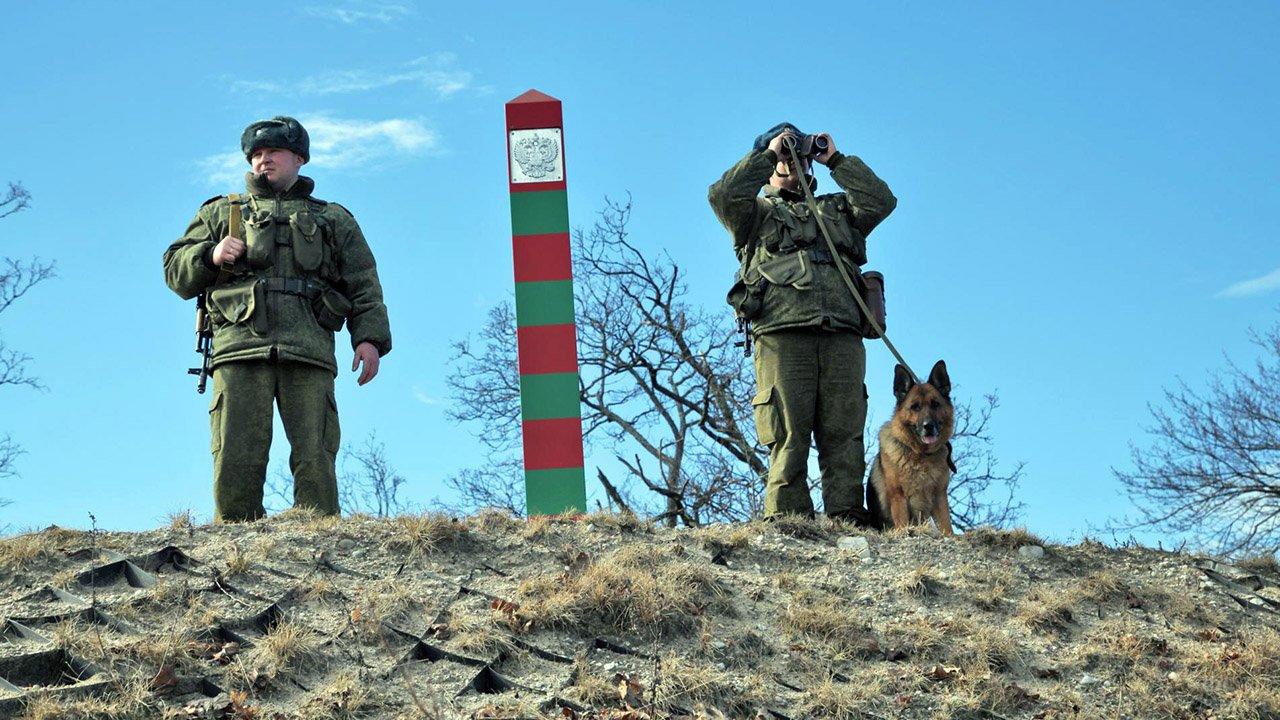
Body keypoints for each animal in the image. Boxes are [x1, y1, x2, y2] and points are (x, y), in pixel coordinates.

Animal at [870, 358, 952, 532]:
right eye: (915, 407)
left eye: (935, 404)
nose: (928, 426)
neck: (920, 454)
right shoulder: (898, 496)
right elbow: (902, 522)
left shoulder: (940, 497)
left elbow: (947, 526)